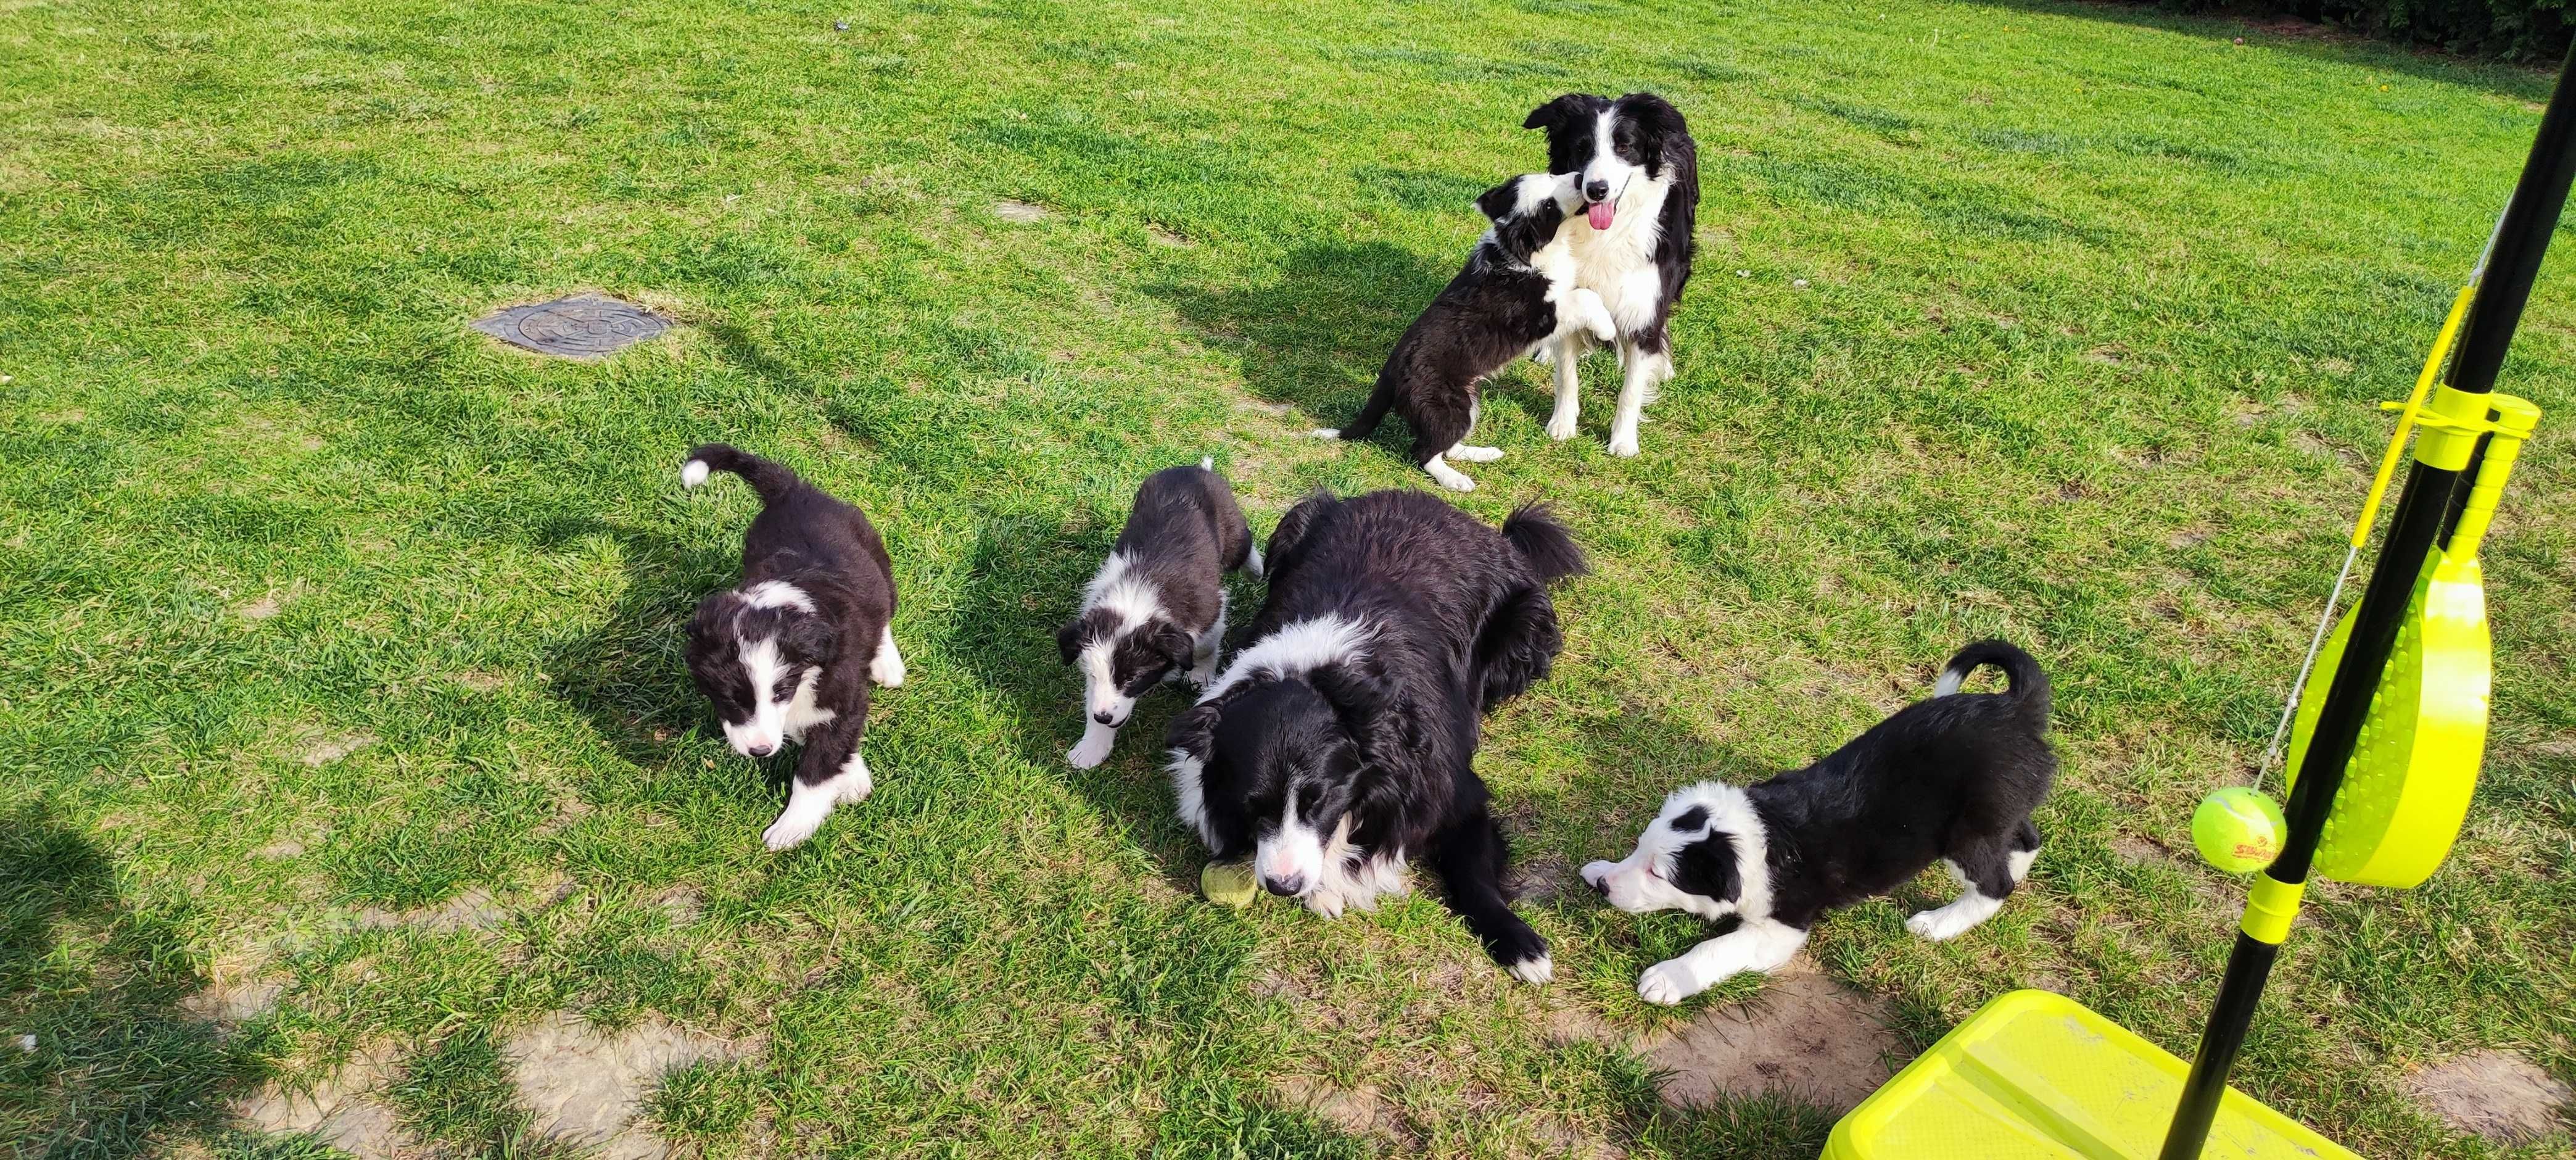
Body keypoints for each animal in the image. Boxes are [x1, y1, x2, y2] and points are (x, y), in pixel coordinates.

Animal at [675, 443, 906, 850]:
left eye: (780, 692)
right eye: (732, 699)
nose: (760, 752)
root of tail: (795, 491)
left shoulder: (843, 694)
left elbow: (818, 765)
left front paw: (792, 828)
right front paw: (852, 776)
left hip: (878, 562)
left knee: (885, 612)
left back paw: (887, 664)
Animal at [1061, 458, 1262, 768]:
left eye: (1131, 679)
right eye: (1095, 676)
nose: (1103, 716)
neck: (1137, 598)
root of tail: (1193, 468)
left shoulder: (1210, 612)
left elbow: (1204, 647)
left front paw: (1199, 676)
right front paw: (1092, 747)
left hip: (1231, 530)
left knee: (1244, 544)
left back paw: (1257, 570)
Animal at [1319, 171, 1617, 489]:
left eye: (1550, 175)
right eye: (1549, 207)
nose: (1579, 177)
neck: (1523, 252)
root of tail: (1387, 375)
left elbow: (1588, 294)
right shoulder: (1536, 316)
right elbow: (1585, 297)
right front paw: (1607, 331)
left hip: (1467, 401)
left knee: (1446, 445)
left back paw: (1482, 454)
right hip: (1447, 403)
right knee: (1423, 452)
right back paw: (1456, 480)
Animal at [1514, 91, 1700, 461]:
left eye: (1624, 147)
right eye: (1581, 148)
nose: (1597, 190)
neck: (1606, 233)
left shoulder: (1644, 302)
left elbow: (1632, 388)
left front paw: (1624, 441)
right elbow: (1567, 374)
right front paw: (1562, 425)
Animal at [1566, 644, 2050, 1005]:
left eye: (1658, 874)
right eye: (1639, 850)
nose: (1606, 888)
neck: (1764, 835)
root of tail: (2016, 710)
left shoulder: (1782, 927)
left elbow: (1718, 946)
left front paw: (1668, 978)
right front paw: (1600, 869)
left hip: (1965, 835)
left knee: (1995, 886)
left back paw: (1939, 924)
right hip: (2000, 815)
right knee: (2026, 839)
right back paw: (2014, 868)